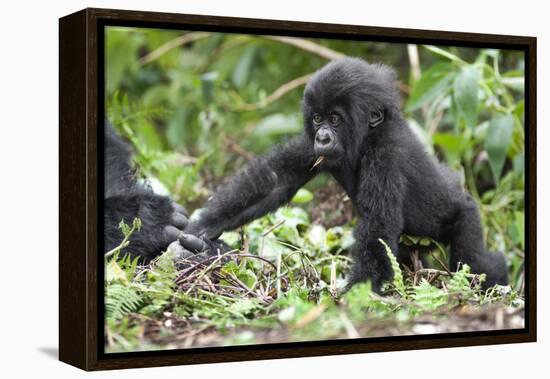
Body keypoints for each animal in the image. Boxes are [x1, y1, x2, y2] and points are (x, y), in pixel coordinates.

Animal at [184, 58, 508, 292]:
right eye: (318, 118)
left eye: (335, 119)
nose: (323, 138)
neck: (367, 137)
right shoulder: (311, 147)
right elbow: (276, 181)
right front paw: (205, 225)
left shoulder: (386, 156)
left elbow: (377, 228)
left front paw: (353, 295)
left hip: (466, 216)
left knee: (475, 261)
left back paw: (497, 274)